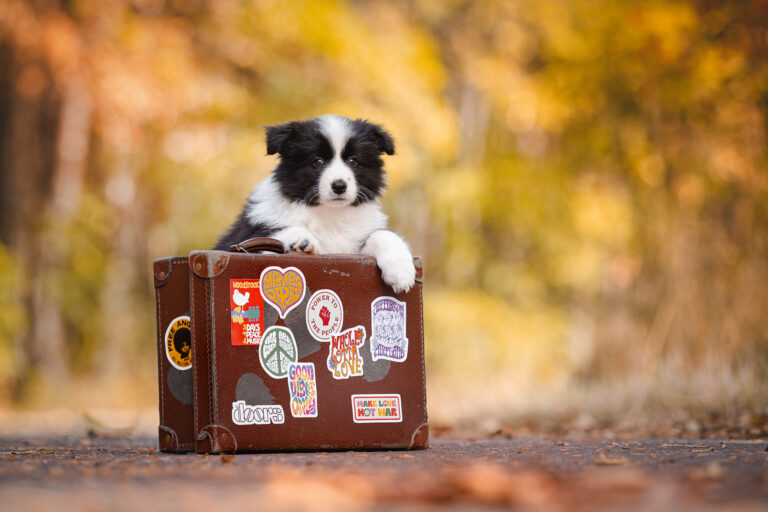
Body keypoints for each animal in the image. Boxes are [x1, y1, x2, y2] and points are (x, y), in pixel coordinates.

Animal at [213, 114, 416, 294]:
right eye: (318, 161)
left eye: (353, 161)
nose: (339, 186)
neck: (330, 212)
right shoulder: (248, 236)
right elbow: (275, 234)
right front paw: (301, 241)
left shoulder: (353, 247)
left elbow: (382, 234)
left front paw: (401, 272)